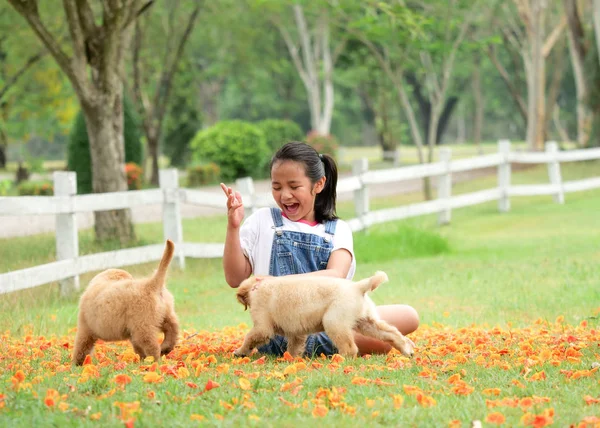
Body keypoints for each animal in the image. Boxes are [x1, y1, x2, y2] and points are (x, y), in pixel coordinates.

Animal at [234, 270, 412, 358]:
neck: (257, 287)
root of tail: (357, 287)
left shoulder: (262, 326)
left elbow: (250, 337)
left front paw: (240, 352)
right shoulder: (296, 333)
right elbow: (293, 347)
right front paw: (290, 360)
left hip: (333, 322)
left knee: (350, 348)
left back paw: (340, 360)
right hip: (367, 323)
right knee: (392, 333)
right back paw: (407, 350)